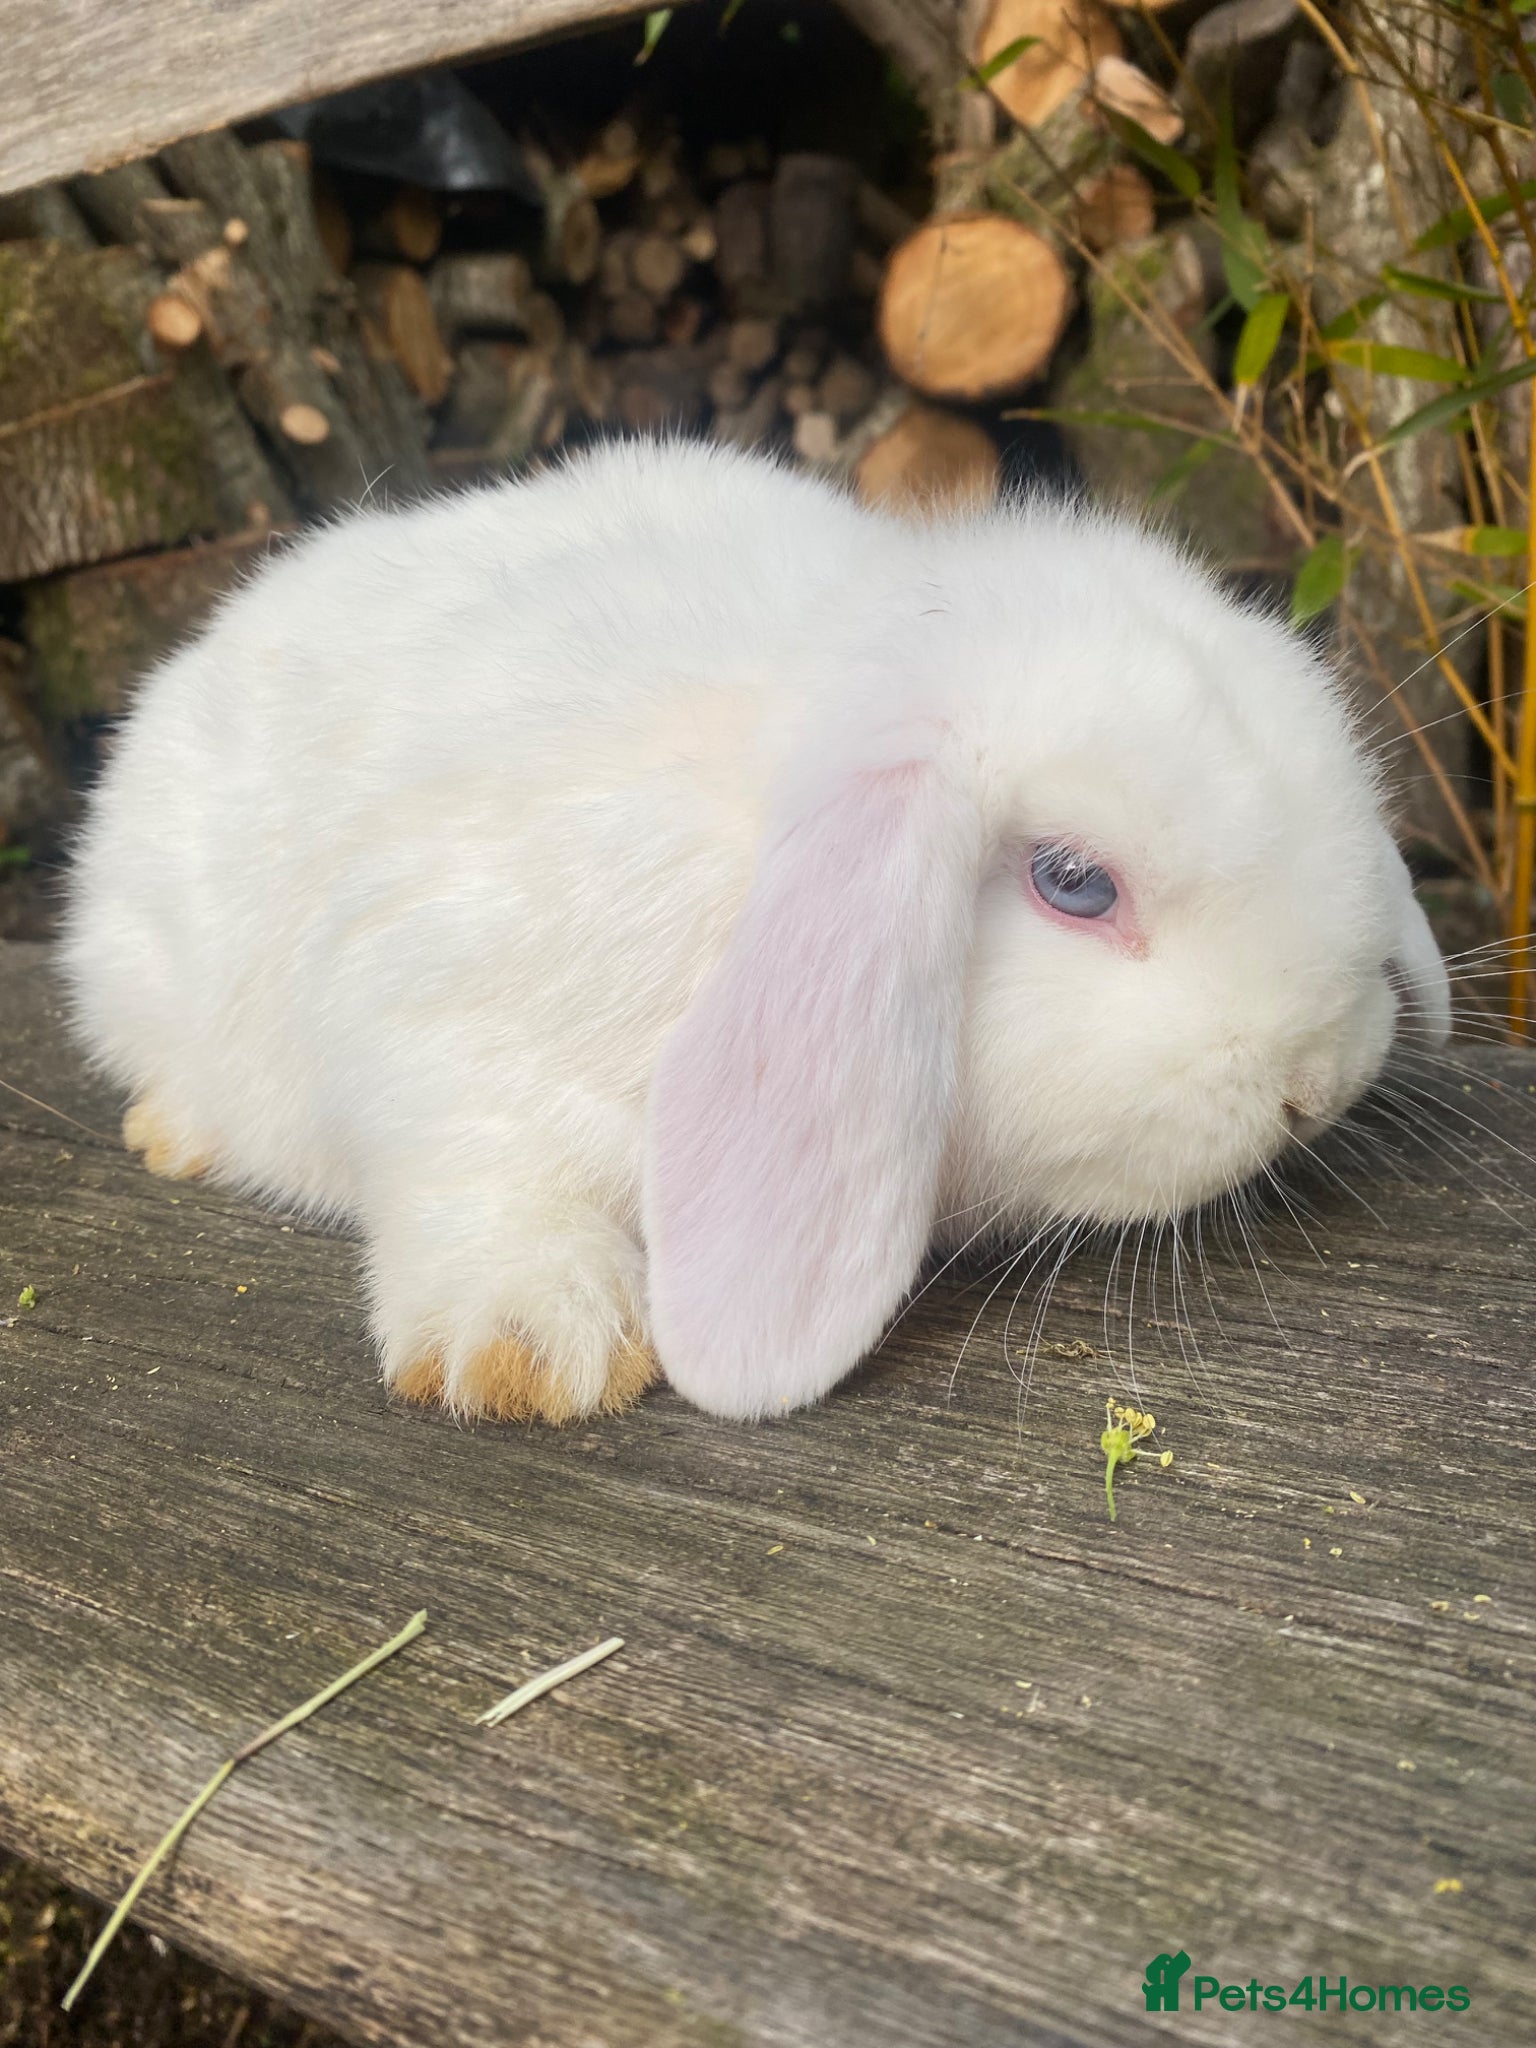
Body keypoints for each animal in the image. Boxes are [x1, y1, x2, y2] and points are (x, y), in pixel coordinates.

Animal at [61, 438, 1451, 1423]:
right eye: (1073, 882)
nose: (1319, 1079)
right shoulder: (427, 1001)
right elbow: (473, 1167)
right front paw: (540, 1352)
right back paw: (173, 1132)